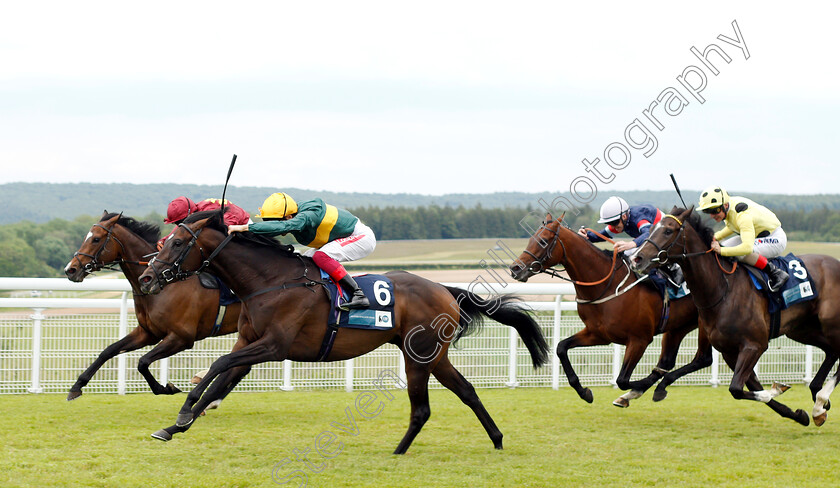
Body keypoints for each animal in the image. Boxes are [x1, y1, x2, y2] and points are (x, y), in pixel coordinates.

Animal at [61, 214, 240, 400]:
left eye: (96, 239)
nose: (70, 269)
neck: (164, 287)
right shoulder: (148, 333)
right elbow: (109, 350)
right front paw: (77, 386)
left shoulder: (181, 337)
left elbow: (143, 362)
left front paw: (165, 388)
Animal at [138, 210, 552, 454]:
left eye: (177, 242)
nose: (146, 278)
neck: (270, 281)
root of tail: (444, 289)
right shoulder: (250, 342)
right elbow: (221, 380)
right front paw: (175, 425)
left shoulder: (274, 345)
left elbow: (217, 365)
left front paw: (183, 410)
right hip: (432, 355)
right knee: (465, 391)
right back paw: (496, 440)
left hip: (420, 354)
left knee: (422, 407)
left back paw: (399, 451)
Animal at [512, 212, 708, 406]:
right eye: (531, 239)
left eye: (543, 241)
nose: (515, 268)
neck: (607, 285)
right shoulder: (598, 334)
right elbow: (561, 347)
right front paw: (584, 392)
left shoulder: (640, 340)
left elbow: (622, 380)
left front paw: (637, 388)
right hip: (679, 326)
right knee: (669, 361)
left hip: (704, 324)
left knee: (702, 359)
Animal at [632, 208, 840, 426]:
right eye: (651, 229)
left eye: (668, 231)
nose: (637, 259)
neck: (723, 289)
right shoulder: (730, 351)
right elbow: (750, 388)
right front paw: (798, 414)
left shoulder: (754, 345)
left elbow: (738, 389)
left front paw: (778, 389)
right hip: (802, 330)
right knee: (832, 350)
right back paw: (818, 400)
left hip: (830, 324)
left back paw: (821, 398)